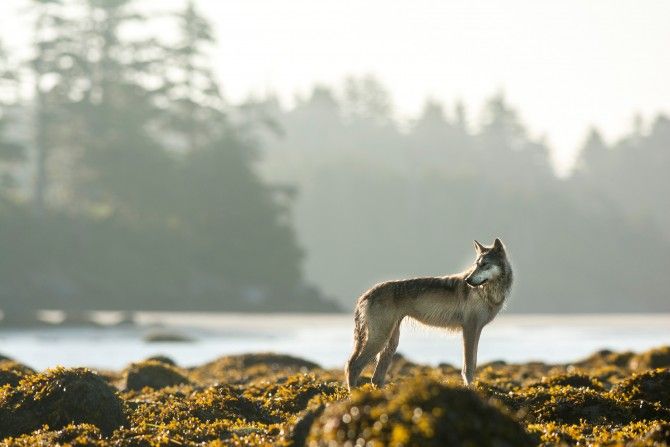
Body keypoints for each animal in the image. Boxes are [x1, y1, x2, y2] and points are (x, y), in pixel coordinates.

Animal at [346, 240, 516, 390]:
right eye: (476, 265)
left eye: (484, 264)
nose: (468, 280)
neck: (486, 292)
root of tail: (365, 294)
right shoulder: (469, 329)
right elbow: (468, 368)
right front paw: (470, 389)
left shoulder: (475, 331)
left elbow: (473, 364)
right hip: (380, 340)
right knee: (352, 366)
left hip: (390, 344)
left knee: (375, 378)